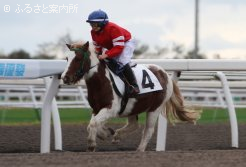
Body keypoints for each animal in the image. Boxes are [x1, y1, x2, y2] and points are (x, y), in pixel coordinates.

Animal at [61, 41, 200, 152]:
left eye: (78, 58)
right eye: (67, 59)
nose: (65, 77)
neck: (102, 81)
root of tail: (165, 74)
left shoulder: (111, 108)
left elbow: (93, 123)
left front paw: (91, 145)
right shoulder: (96, 108)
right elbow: (92, 124)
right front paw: (106, 133)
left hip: (155, 108)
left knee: (148, 130)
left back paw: (139, 150)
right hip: (133, 106)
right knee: (134, 125)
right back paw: (118, 135)